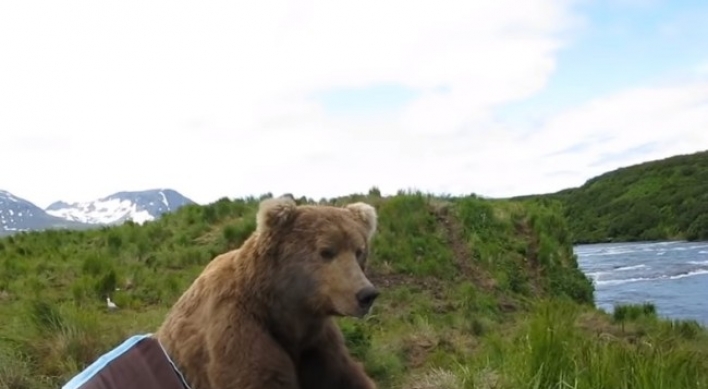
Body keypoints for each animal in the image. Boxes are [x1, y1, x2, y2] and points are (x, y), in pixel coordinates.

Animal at [151, 196, 378, 388]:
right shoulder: (237, 331)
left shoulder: (317, 342)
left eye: (359, 251)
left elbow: (346, 377)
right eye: (327, 251)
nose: (366, 294)